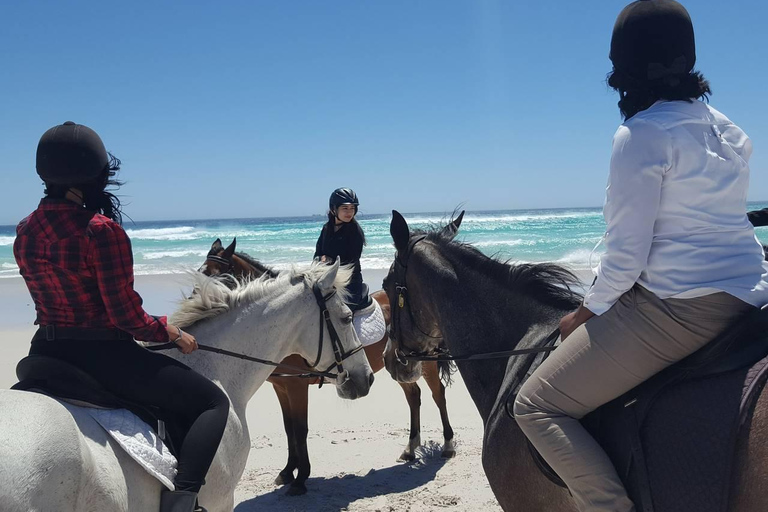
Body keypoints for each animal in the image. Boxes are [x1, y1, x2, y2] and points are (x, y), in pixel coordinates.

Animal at [201, 240, 460, 496]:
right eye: (202, 273)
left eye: (219, 275)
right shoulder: (281, 387)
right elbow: (288, 428)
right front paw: (287, 471)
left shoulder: (296, 386)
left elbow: (300, 429)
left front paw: (300, 478)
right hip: (401, 367)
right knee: (413, 396)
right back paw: (410, 448)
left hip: (424, 363)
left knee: (438, 394)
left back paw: (448, 444)